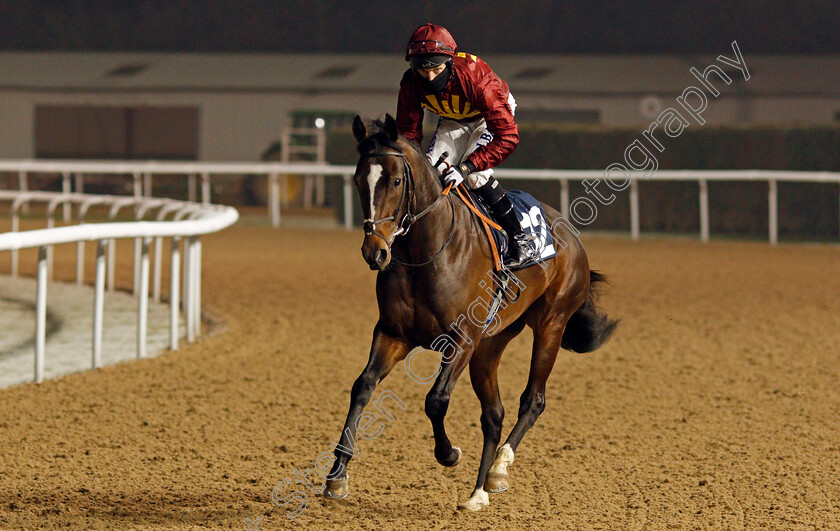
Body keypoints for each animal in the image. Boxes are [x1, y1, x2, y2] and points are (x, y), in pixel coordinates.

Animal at [322, 115, 616, 512]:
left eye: (396, 181)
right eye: (357, 180)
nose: (375, 252)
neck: (427, 252)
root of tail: (571, 235)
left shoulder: (460, 340)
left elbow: (435, 400)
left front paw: (448, 453)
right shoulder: (393, 333)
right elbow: (362, 386)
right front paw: (337, 475)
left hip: (550, 324)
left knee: (533, 400)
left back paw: (500, 466)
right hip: (490, 345)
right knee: (494, 413)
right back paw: (480, 490)